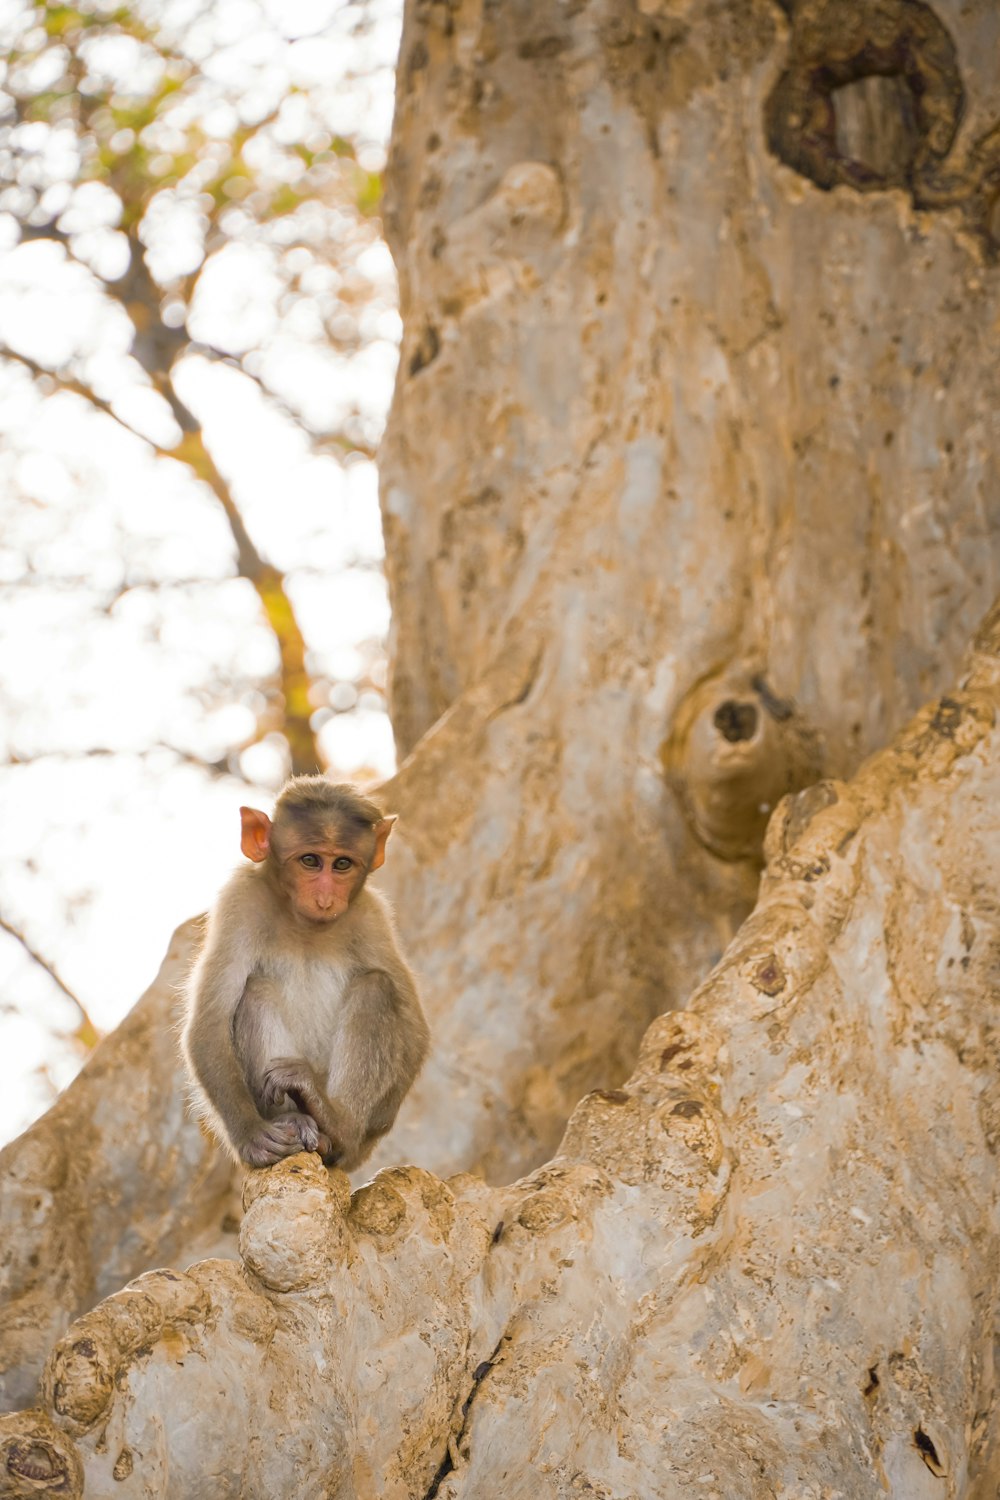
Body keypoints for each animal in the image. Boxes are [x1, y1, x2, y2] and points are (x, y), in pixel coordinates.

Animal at [182, 780, 428, 1176]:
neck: (304, 924)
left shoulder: (371, 916)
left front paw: (360, 1133)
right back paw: (295, 1120)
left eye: (342, 864)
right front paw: (251, 1136)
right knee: (256, 991)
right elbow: (210, 1021)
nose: (326, 899)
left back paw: (335, 1122)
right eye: (310, 861)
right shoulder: (239, 901)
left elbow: (417, 1030)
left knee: (376, 987)